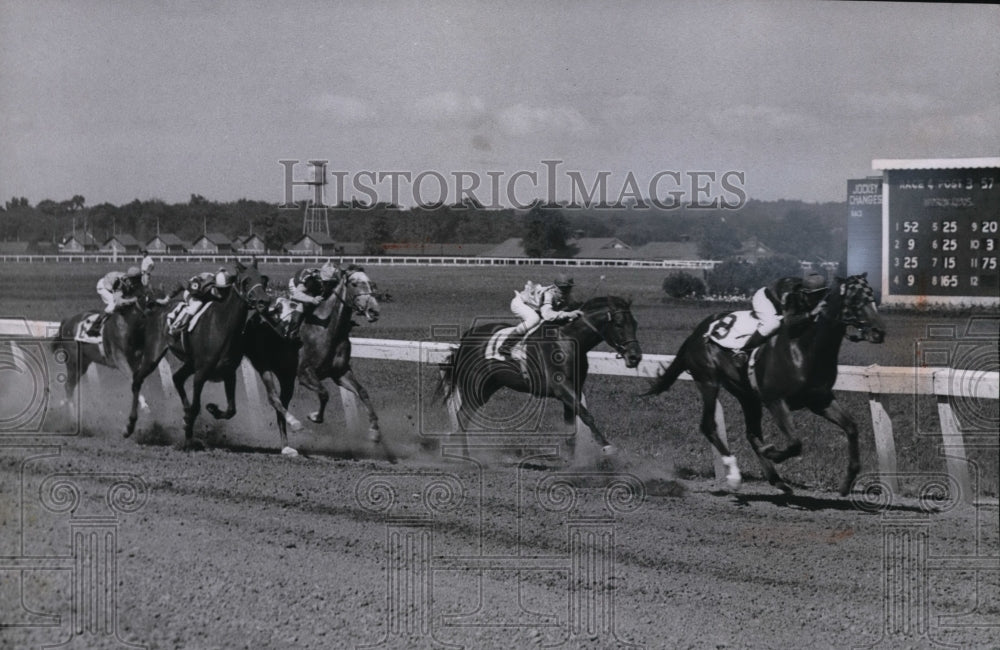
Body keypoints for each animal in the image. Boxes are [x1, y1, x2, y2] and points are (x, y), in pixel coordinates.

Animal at [54, 286, 174, 432]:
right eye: (153, 303)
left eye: (167, 303)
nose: (165, 322)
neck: (130, 325)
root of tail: (67, 321)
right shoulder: (120, 360)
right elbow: (133, 379)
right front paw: (145, 407)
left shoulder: (135, 361)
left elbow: (137, 379)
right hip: (74, 362)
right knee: (68, 386)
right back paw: (72, 419)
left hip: (83, 364)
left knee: (69, 386)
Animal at [169, 256, 270, 446]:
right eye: (246, 281)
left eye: (263, 279)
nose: (263, 302)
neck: (222, 326)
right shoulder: (201, 373)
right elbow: (196, 407)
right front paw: (188, 436)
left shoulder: (229, 373)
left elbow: (231, 410)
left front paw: (213, 409)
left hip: (190, 363)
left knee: (177, 378)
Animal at [440, 296, 644, 458]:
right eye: (618, 324)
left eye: (635, 324)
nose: (635, 357)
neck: (567, 342)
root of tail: (466, 337)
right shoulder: (562, 388)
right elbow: (587, 416)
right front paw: (607, 446)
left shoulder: (574, 390)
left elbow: (571, 428)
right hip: (474, 384)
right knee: (463, 414)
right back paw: (466, 457)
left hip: (489, 386)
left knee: (465, 414)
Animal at [644, 270, 888, 494]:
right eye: (855, 299)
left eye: (872, 296)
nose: (879, 331)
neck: (805, 348)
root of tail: (698, 331)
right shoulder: (775, 399)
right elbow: (795, 443)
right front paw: (771, 452)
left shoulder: (820, 399)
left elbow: (851, 427)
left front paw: (847, 482)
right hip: (708, 380)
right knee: (709, 425)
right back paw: (734, 475)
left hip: (746, 395)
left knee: (751, 433)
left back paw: (776, 479)